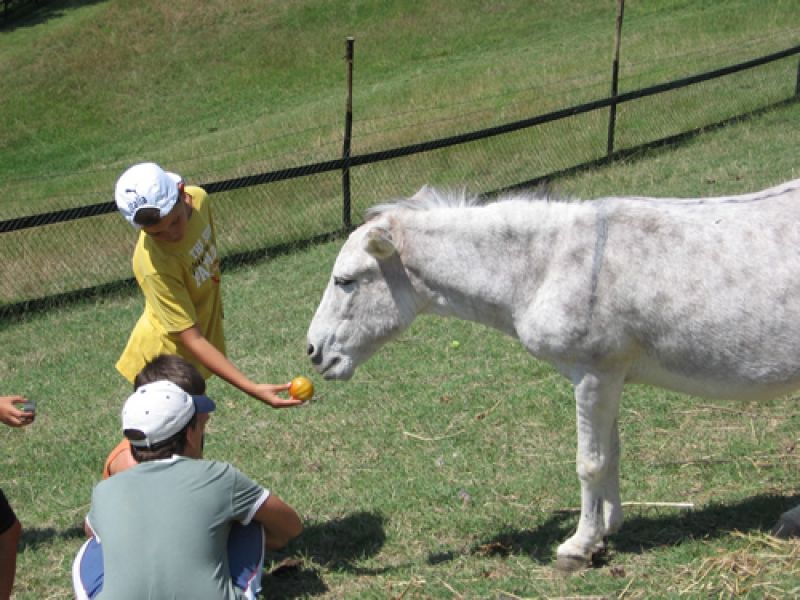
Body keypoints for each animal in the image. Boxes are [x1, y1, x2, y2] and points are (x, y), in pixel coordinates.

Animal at [304, 177, 800, 568]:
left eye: (345, 281)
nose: (313, 353)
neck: (546, 265)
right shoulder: (607, 379)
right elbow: (611, 453)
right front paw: (607, 528)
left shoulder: (594, 374)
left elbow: (589, 462)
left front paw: (579, 546)